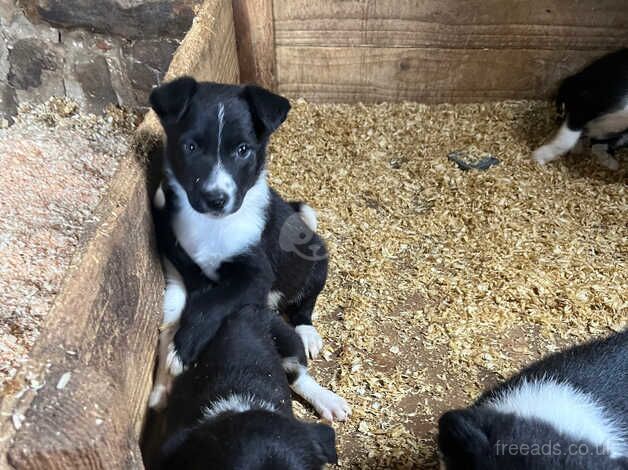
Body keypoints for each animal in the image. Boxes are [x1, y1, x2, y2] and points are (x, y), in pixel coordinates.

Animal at [148, 77, 332, 408]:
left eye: (243, 150)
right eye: (190, 147)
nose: (216, 199)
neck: (213, 225)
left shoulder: (256, 275)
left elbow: (213, 303)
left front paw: (181, 350)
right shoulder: (179, 252)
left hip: (315, 263)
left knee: (306, 303)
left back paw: (307, 332)